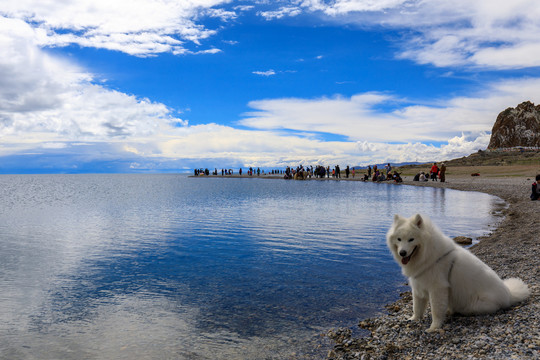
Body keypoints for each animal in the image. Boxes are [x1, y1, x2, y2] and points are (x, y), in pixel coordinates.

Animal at [386, 214, 528, 332]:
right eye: (399, 239)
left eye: (411, 239)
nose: (402, 253)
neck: (428, 255)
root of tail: (509, 295)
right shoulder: (418, 285)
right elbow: (417, 307)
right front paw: (413, 319)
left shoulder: (438, 288)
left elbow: (436, 310)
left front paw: (433, 328)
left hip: (474, 305)